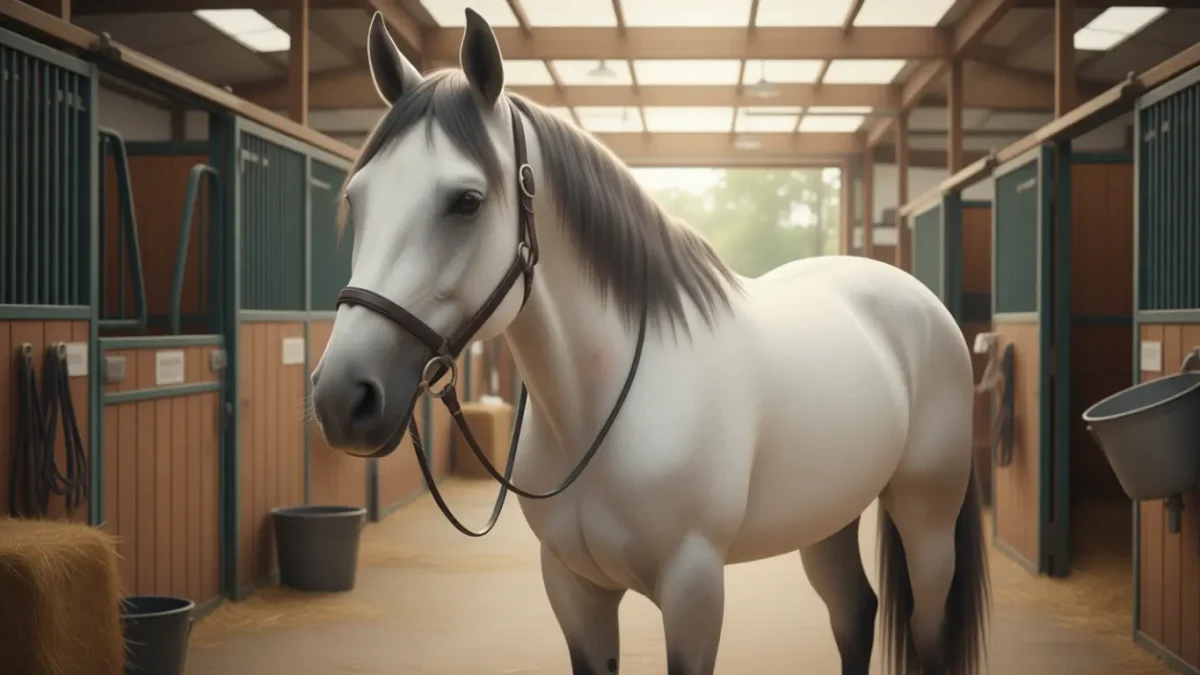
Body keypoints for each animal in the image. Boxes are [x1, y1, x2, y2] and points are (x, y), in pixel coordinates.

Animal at [309, 9, 990, 675]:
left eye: (467, 201)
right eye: (356, 199)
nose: (342, 397)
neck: (602, 408)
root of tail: (916, 298)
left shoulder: (693, 588)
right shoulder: (573, 589)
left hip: (927, 518)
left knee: (926, 631)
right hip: (827, 515)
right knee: (854, 613)